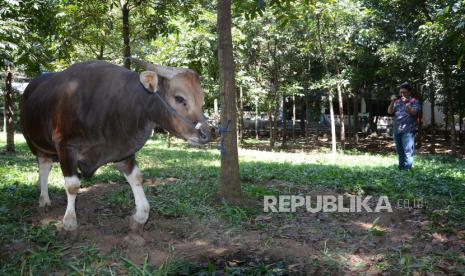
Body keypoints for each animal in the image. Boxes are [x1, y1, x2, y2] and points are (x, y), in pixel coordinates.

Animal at [20, 59, 212, 232]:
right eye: (179, 98)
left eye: (201, 100)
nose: (208, 133)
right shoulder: (65, 147)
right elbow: (73, 185)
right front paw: (69, 221)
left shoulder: (122, 150)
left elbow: (136, 179)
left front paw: (139, 218)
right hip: (35, 142)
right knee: (44, 165)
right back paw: (44, 198)